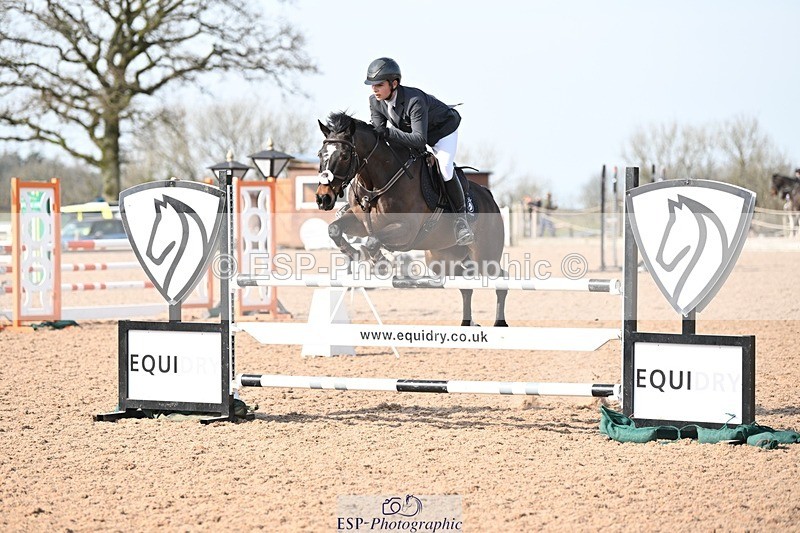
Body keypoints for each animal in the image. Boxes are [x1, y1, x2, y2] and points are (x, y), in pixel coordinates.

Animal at [315, 111, 508, 327]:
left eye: (345, 155)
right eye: (320, 154)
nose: (323, 198)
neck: (377, 184)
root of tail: (489, 196)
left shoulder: (406, 229)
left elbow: (373, 241)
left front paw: (380, 263)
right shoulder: (361, 223)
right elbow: (334, 229)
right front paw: (354, 253)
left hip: (484, 256)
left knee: (501, 279)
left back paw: (500, 323)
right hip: (443, 258)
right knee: (465, 285)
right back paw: (468, 324)